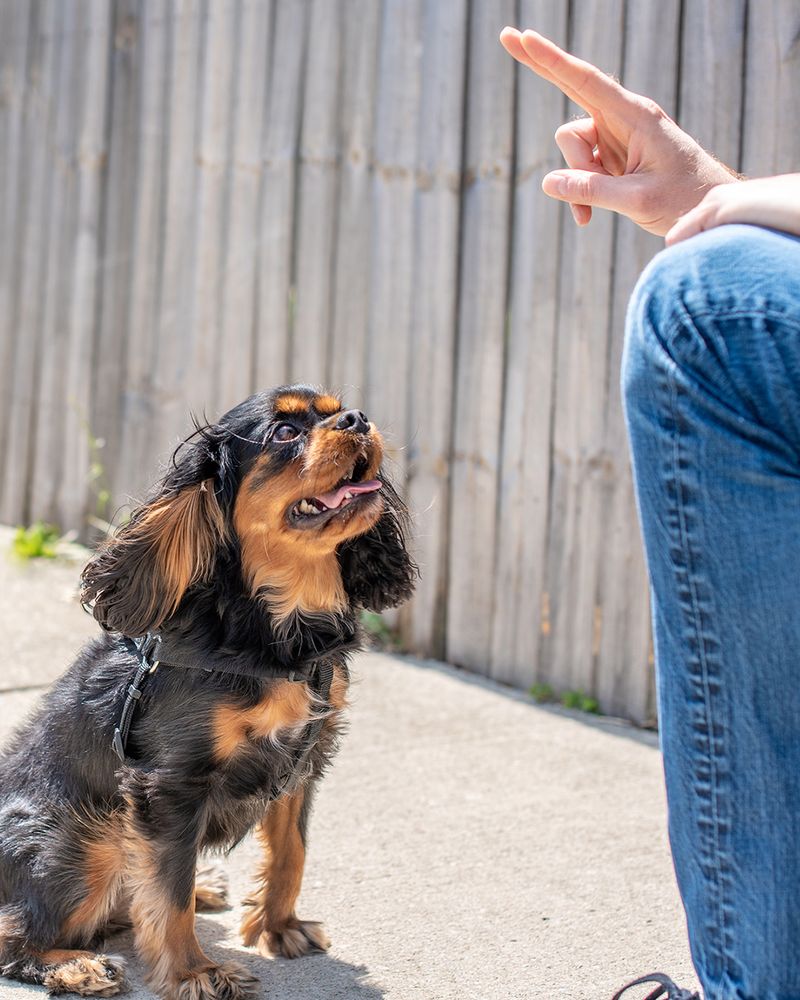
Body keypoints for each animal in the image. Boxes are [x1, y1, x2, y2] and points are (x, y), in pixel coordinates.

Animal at [0, 386, 416, 1000]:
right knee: (18, 933)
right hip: (84, 837)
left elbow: (291, 854)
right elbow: (167, 897)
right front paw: (194, 972)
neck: (277, 625)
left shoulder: (302, 762)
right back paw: (78, 966)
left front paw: (279, 928)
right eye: (284, 433)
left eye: (339, 407)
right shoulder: (169, 783)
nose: (359, 419)